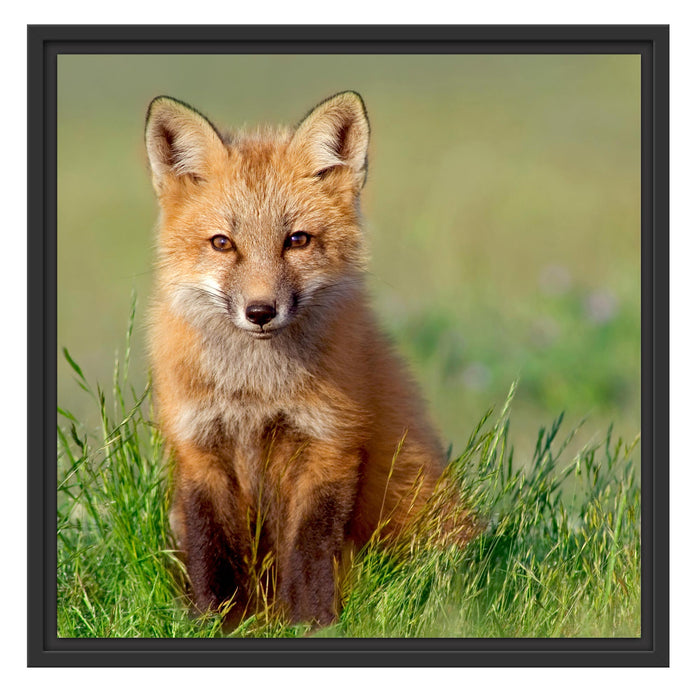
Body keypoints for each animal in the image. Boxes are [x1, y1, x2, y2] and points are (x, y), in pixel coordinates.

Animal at [145, 91, 472, 627]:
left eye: (296, 240)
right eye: (222, 243)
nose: (260, 312)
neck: (256, 392)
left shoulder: (329, 443)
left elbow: (310, 551)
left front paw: (310, 623)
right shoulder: (198, 448)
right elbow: (211, 551)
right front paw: (214, 622)